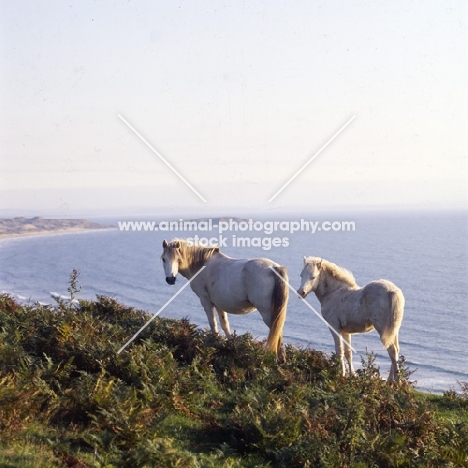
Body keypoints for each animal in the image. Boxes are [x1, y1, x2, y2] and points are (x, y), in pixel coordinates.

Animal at [160, 239, 288, 360]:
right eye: (163, 259)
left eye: (178, 259)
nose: (170, 279)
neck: (202, 265)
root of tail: (274, 268)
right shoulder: (219, 304)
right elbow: (224, 324)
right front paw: (231, 345)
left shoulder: (206, 301)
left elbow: (213, 323)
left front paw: (214, 343)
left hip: (267, 312)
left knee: (276, 330)